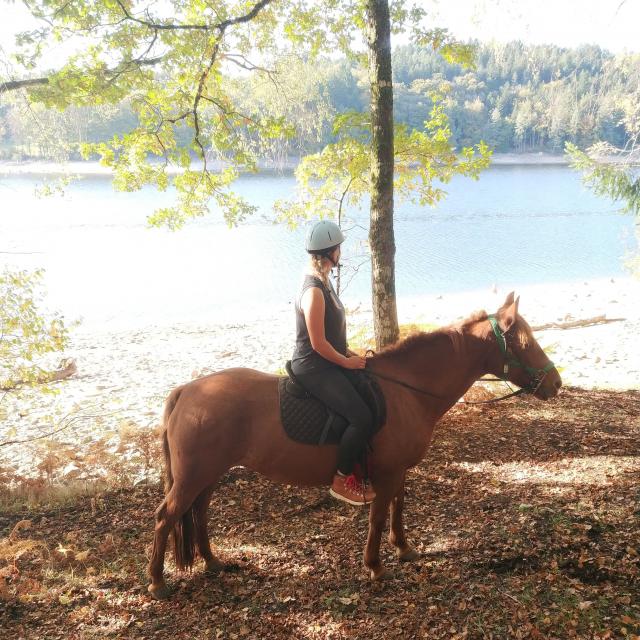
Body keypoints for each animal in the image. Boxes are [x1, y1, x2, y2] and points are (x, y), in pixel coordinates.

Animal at [149, 292, 560, 596]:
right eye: (525, 342)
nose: (556, 383)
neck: (406, 390)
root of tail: (187, 390)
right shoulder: (386, 472)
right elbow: (378, 516)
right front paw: (376, 566)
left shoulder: (398, 470)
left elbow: (398, 506)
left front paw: (404, 548)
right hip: (194, 475)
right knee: (166, 516)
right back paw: (157, 582)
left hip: (208, 474)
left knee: (199, 513)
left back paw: (211, 561)